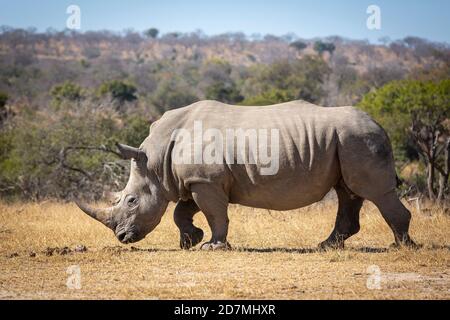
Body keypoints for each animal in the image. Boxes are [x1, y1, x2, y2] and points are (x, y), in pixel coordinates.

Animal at [75, 100, 416, 250]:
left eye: (131, 200)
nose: (122, 238)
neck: (156, 160)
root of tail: (379, 124)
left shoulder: (205, 181)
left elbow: (215, 214)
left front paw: (212, 246)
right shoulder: (199, 180)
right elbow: (182, 212)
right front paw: (190, 241)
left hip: (358, 138)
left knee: (374, 191)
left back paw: (400, 247)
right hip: (346, 141)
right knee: (348, 192)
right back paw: (326, 246)